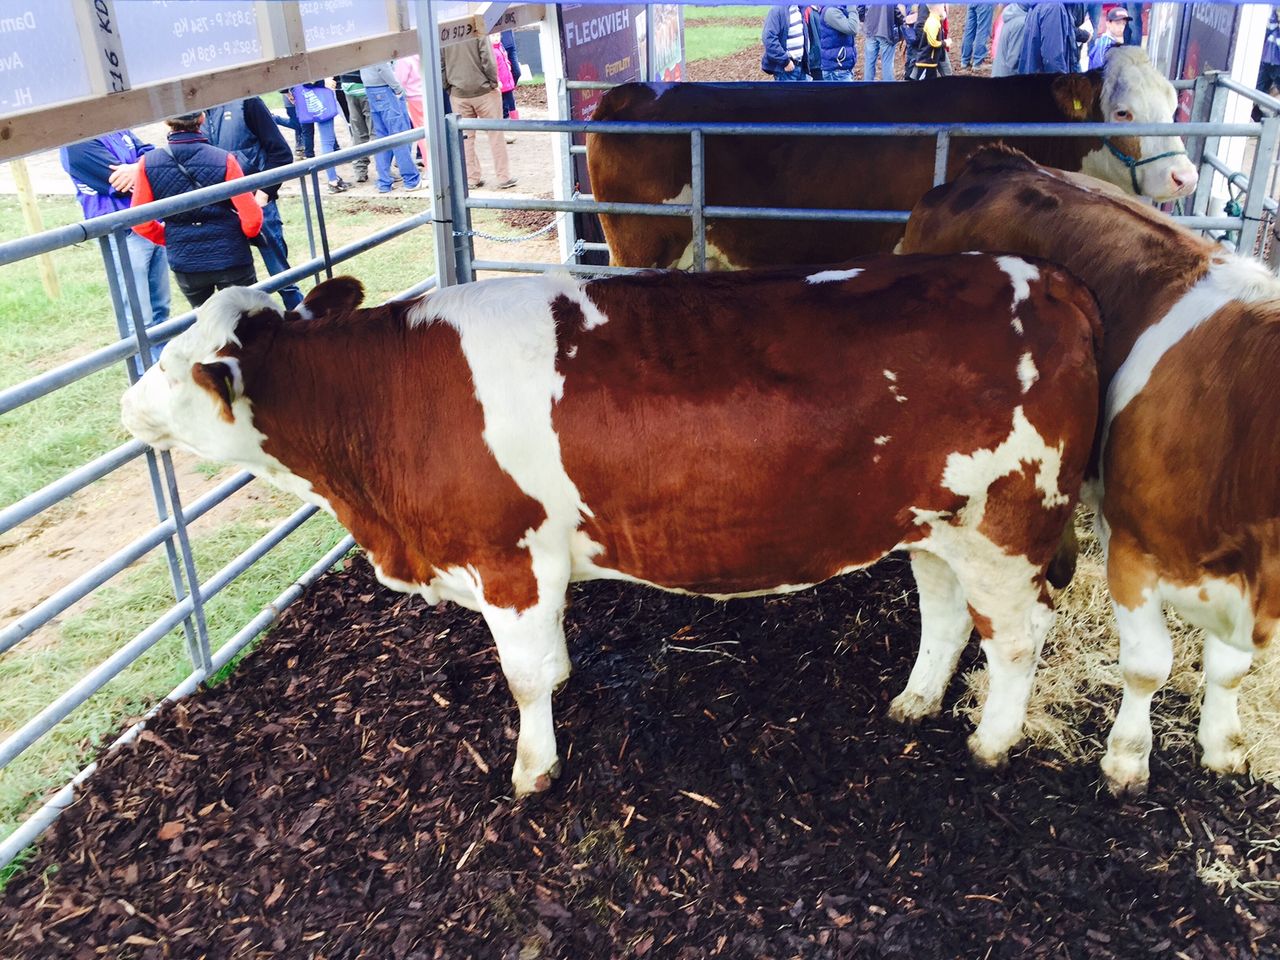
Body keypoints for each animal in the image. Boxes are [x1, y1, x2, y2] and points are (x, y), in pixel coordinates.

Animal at [121, 258, 1100, 796]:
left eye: (169, 365)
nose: (127, 402)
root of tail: (1042, 276)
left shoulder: (506, 557)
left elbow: (520, 678)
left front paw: (532, 768)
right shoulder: (537, 564)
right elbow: (549, 656)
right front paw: (560, 691)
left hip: (1009, 524)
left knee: (1018, 635)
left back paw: (990, 742)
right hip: (934, 523)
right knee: (945, 611)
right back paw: (916, 699)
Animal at [899, 144, 1280, 795]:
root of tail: (996, 162)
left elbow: (1230, 668)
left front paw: (1222, 746)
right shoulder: (1131, 548)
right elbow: (1148, 665)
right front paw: (1127, 757)